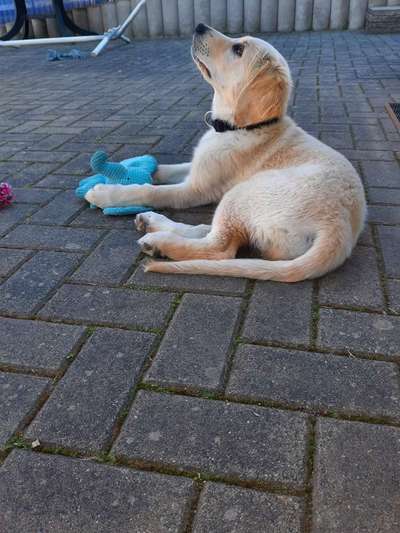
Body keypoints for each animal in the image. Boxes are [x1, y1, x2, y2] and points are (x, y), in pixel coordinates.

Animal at [86, 23, 368, 282]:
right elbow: (162, 170)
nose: (199, 26)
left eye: (238, 49)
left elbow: (150, 191)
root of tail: (339, 229)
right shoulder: (198, 166)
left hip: (242, 194)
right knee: (212, 231)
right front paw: (128, 167)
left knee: (220, 247)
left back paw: (159, 242)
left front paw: (106, 192)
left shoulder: (195, 189)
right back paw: (154, 223)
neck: (243, 127)